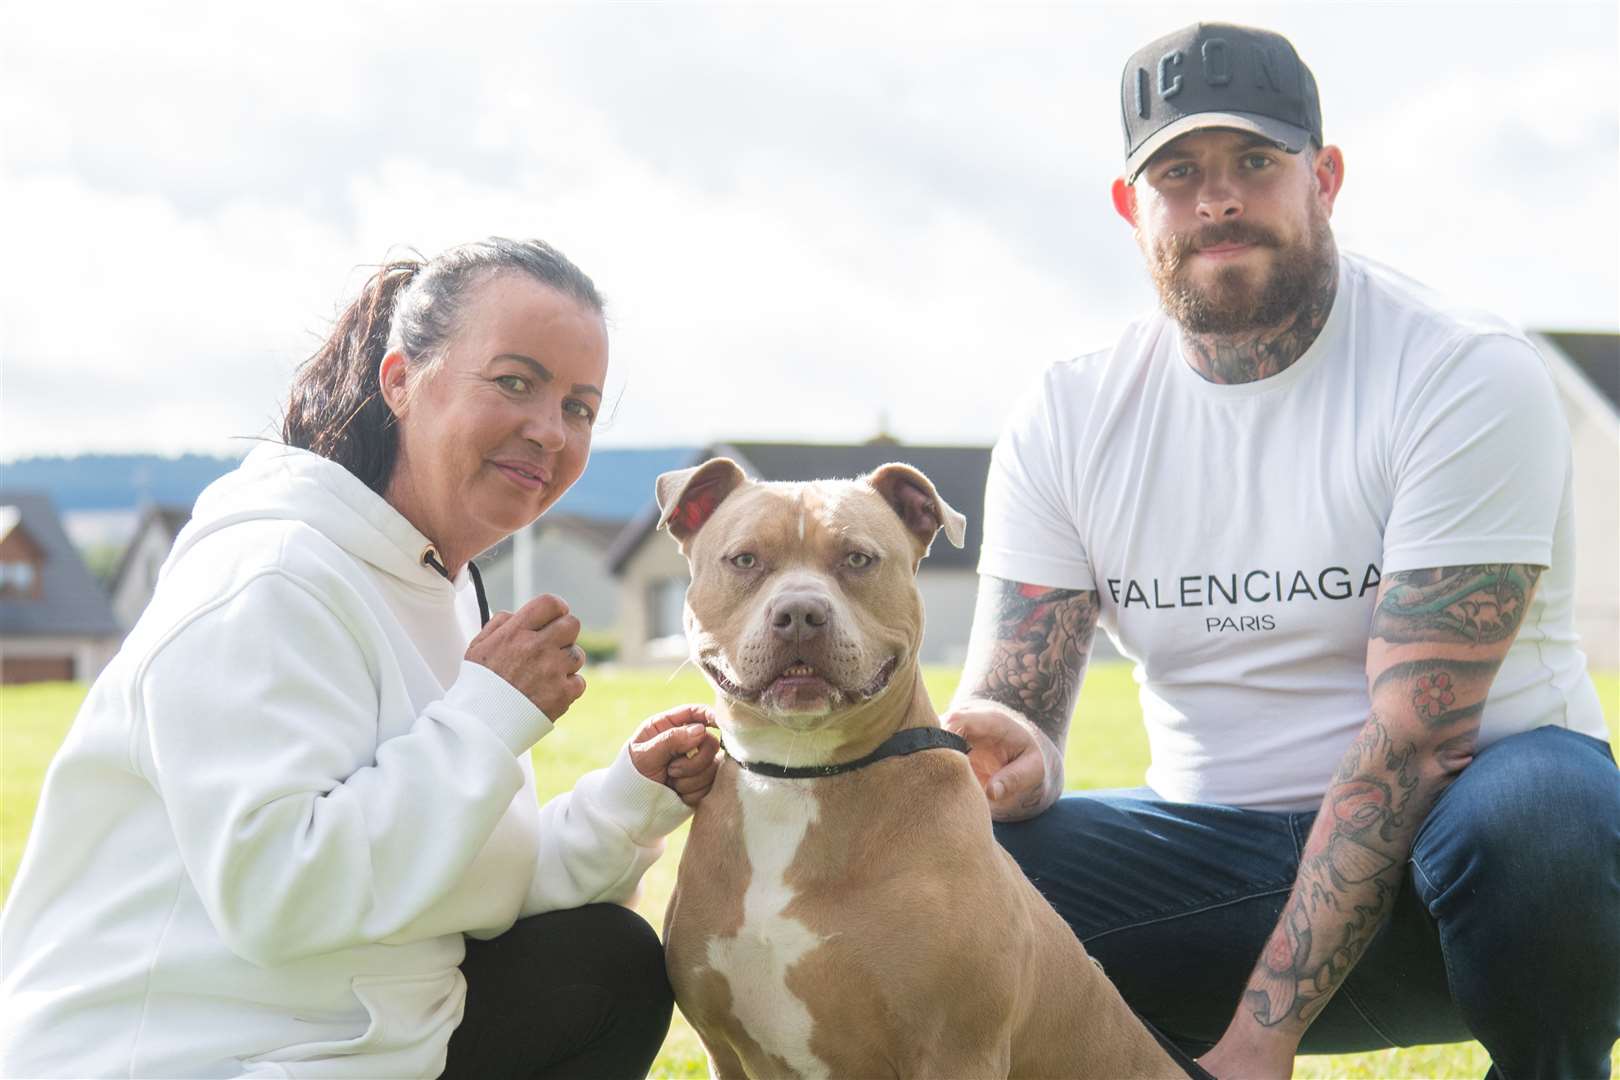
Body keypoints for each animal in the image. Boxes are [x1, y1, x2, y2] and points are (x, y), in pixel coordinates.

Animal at [651, 459, 1185, 1080]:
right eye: (744, 560)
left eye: (858, 559)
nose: (800, 613)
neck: (797, 774)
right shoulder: (725, 1050)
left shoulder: (956, 1049)